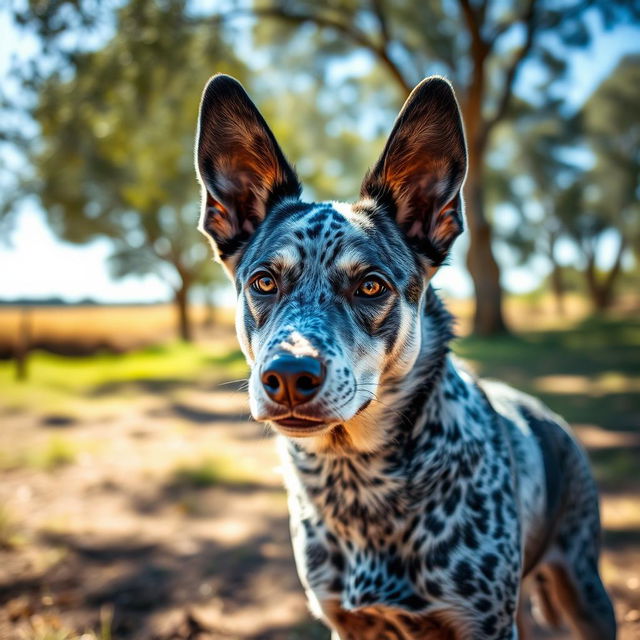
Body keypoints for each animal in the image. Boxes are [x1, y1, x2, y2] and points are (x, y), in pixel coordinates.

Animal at [194, 74, 616, 640]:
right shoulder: (347, 622)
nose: (288, 375)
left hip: (582, 589)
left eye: (371, 285)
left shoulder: (485, 624)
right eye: (264, 281)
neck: (357, 482)